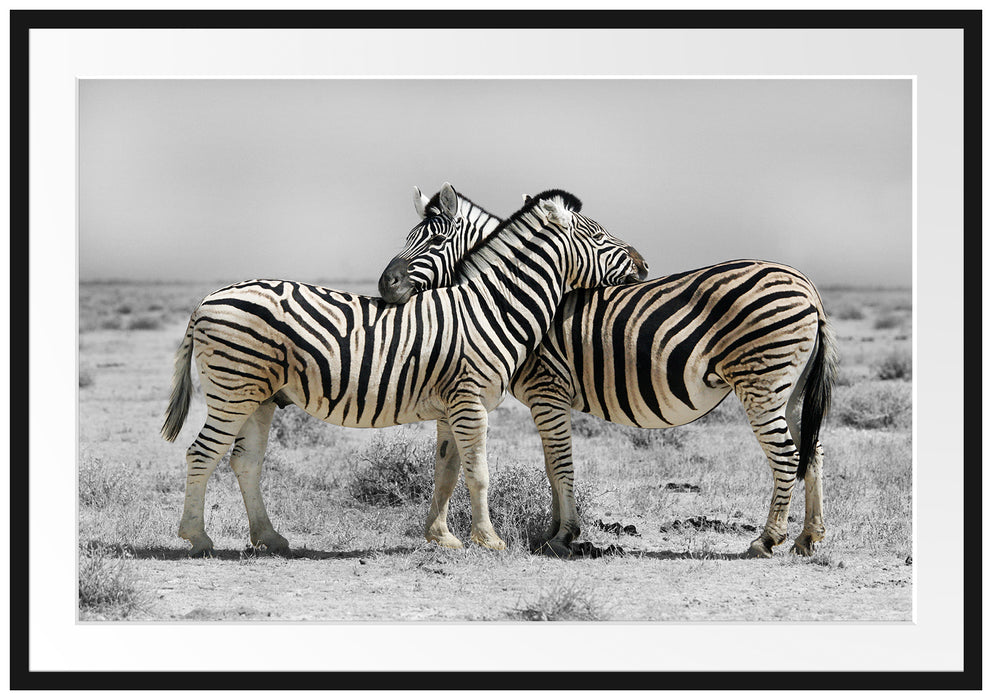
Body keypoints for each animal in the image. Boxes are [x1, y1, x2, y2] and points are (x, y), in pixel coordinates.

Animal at [161, 183, 646, 556]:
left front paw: (442, 537)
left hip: (258, 396)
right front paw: (489, 540)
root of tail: (206, 300)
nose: (643, 264)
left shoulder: (452, 406)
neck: (491, 308)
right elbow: (479, 472)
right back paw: (197, 538)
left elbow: (447, 472)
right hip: (233, 389)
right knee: (201, 453)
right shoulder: (470, 402)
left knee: (245, 461)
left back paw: (270, 537)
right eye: (599, 235)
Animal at [379, 189, 837, 559]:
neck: (507, 298)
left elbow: (560, 463)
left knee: (787, 455)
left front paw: (564, 536)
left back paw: (767, 539)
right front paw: (551, 532)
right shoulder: (548, 399)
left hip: (761, 382)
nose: (385, 285)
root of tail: (809, 287)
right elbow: (551, 465)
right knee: (812, 450)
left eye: (435, 240)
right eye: (408, 237)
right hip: (789, 389)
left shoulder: (548, 389)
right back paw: (808, 537)